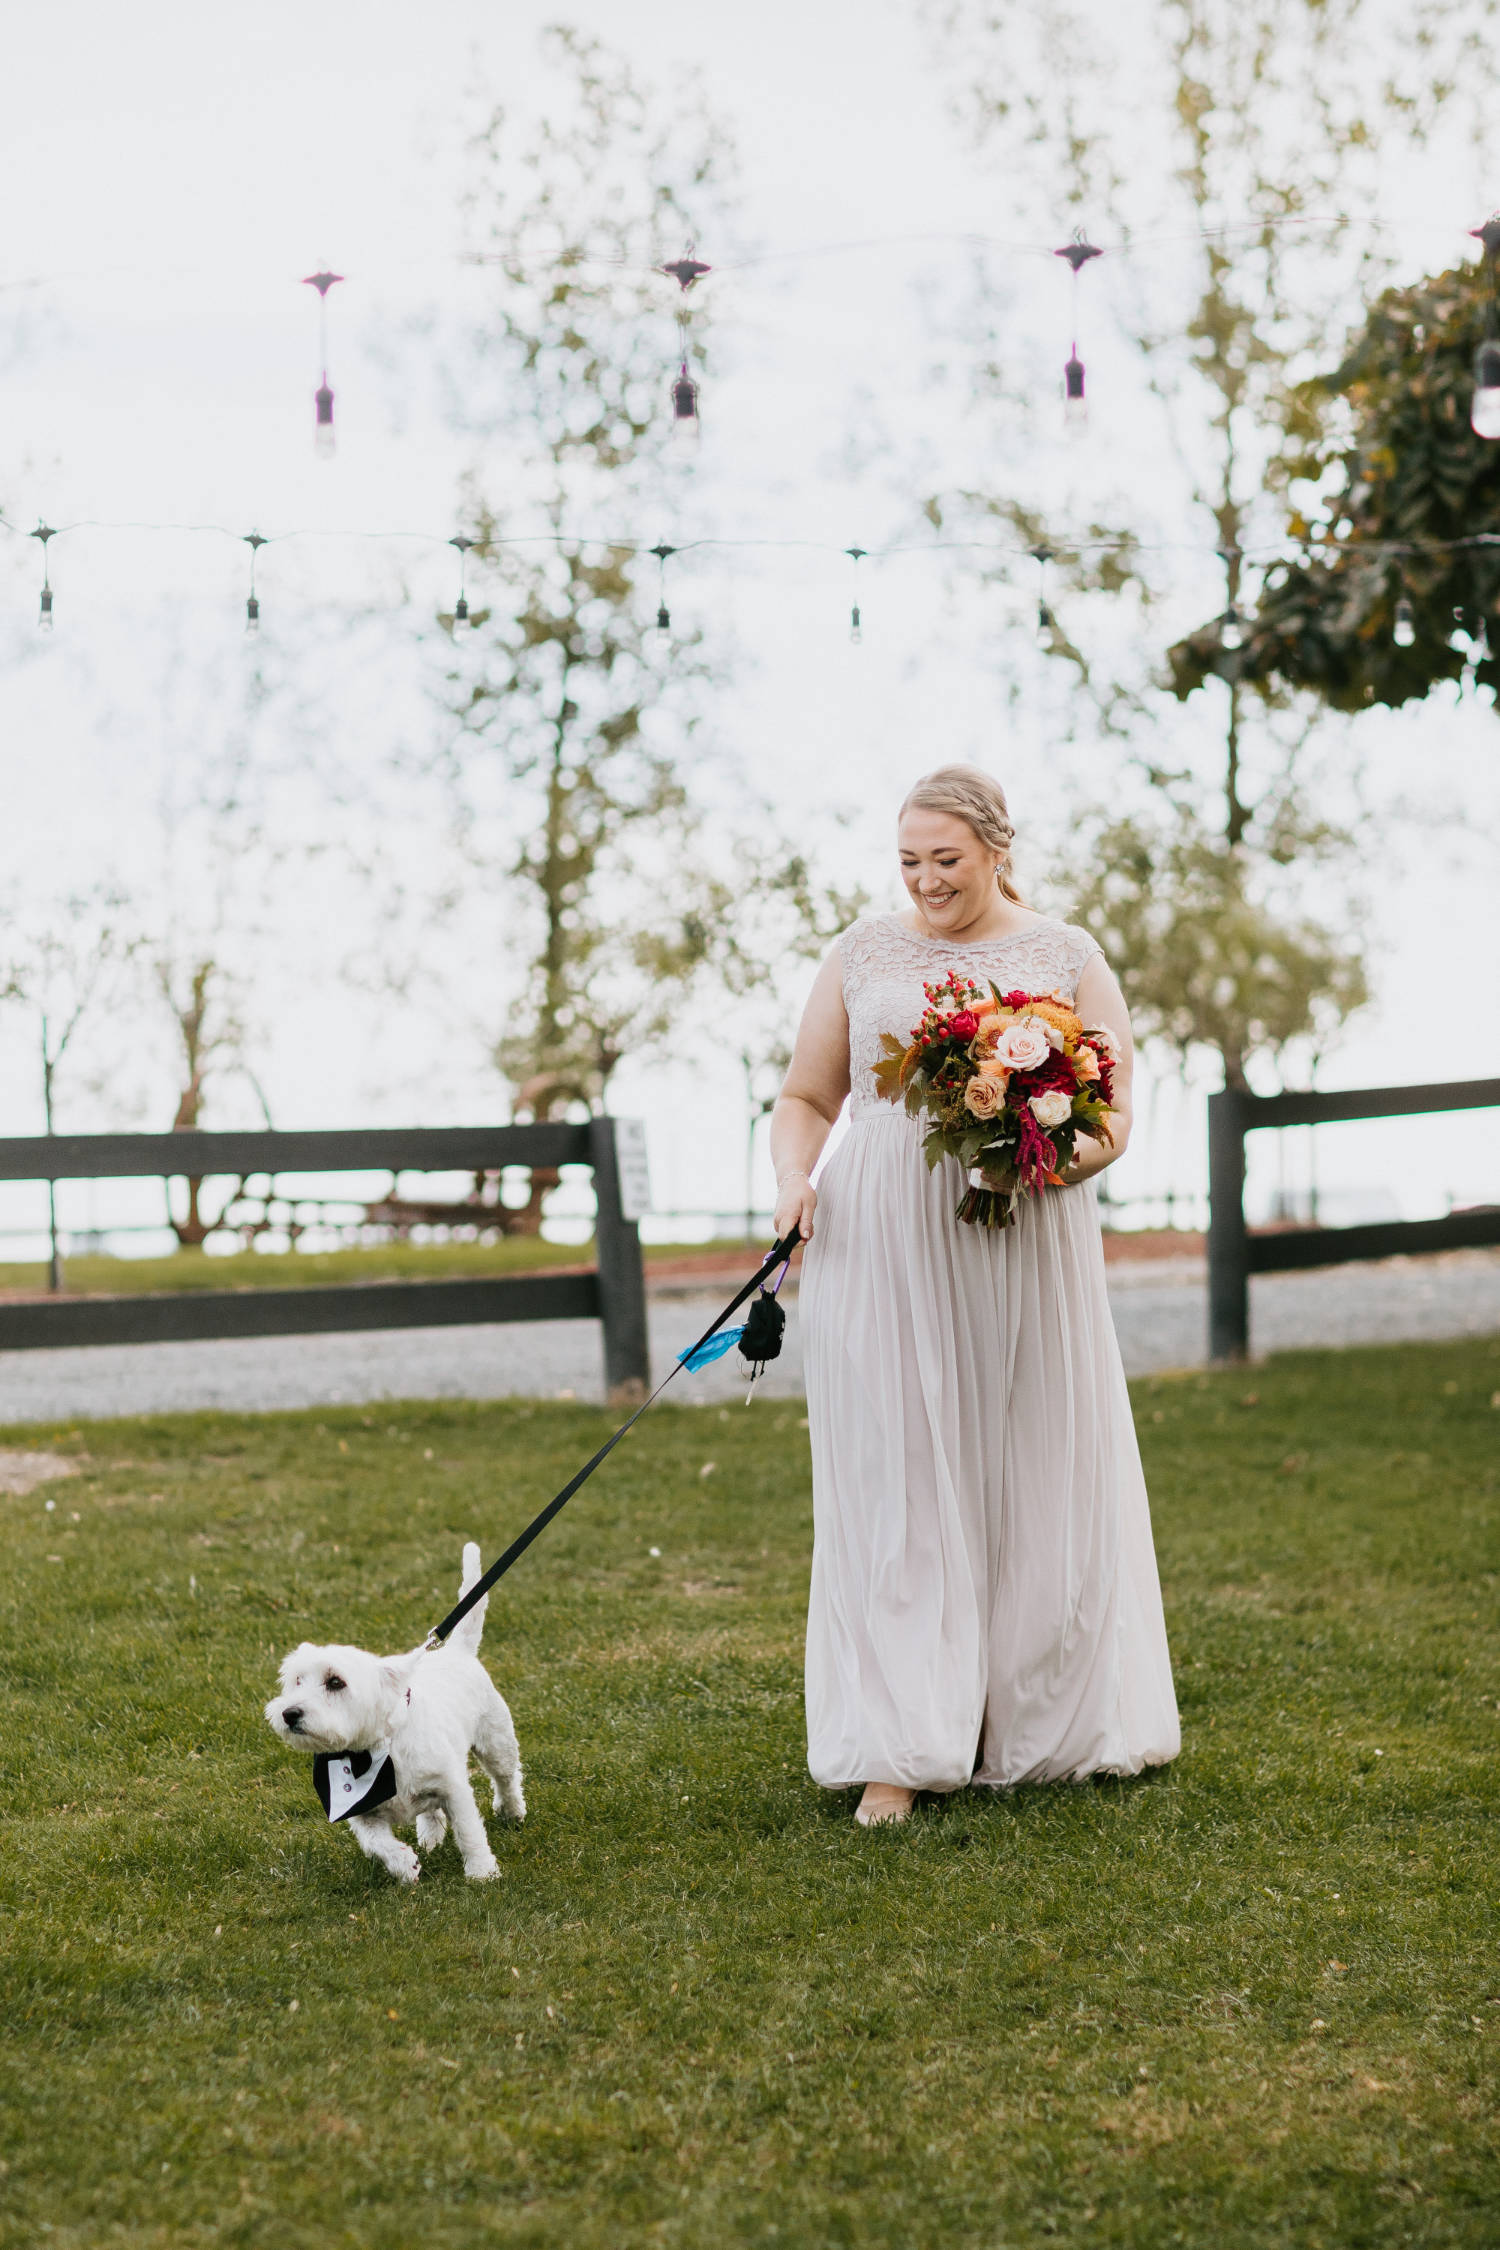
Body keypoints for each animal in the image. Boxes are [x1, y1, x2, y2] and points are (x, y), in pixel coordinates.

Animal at [266, 1548, 526, 1881]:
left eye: (336, 1682)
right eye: (297, 1680)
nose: (289, 1713)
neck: (377, 1750)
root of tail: (457, 1650)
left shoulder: (453, 1787)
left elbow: (469, 1831)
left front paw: (481, 1872)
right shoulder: (358, 1811)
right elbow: (375, 1841)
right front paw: (404, 1863)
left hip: (496, 1740)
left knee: (506, 1777)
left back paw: (512, 1811)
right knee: (431, 1811)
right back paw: (429, 1838)